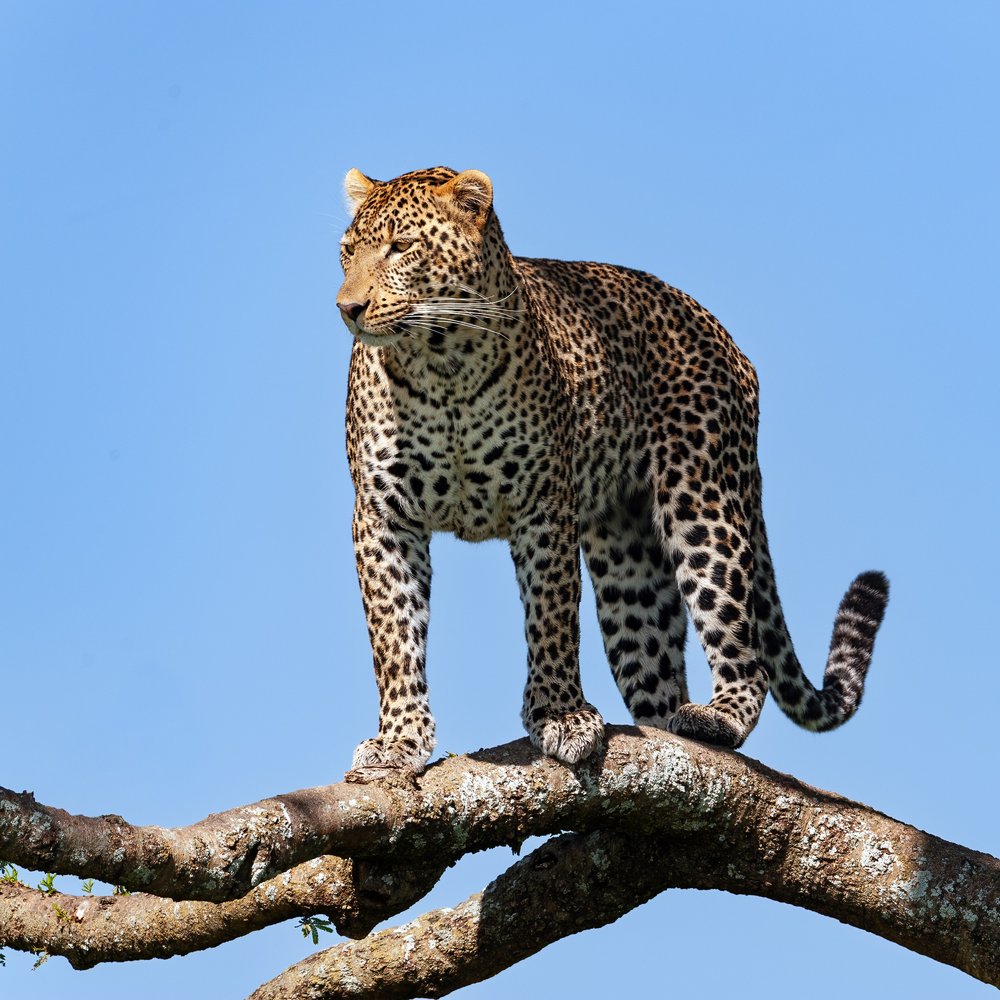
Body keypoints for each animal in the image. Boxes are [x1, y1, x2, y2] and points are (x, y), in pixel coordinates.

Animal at [337, 165, 888, 777]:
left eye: (401, 248)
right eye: (346, 253)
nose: (347, 307)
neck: (441, 365)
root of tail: (726, 341)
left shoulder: (544, 504)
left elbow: (552, 616)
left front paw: (560, 715)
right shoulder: (383, 514)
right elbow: (393, 636)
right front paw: (398, 739)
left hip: (704, 504)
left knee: (747, 653)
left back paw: (717, 717)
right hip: (629, 557)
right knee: (655, 666)